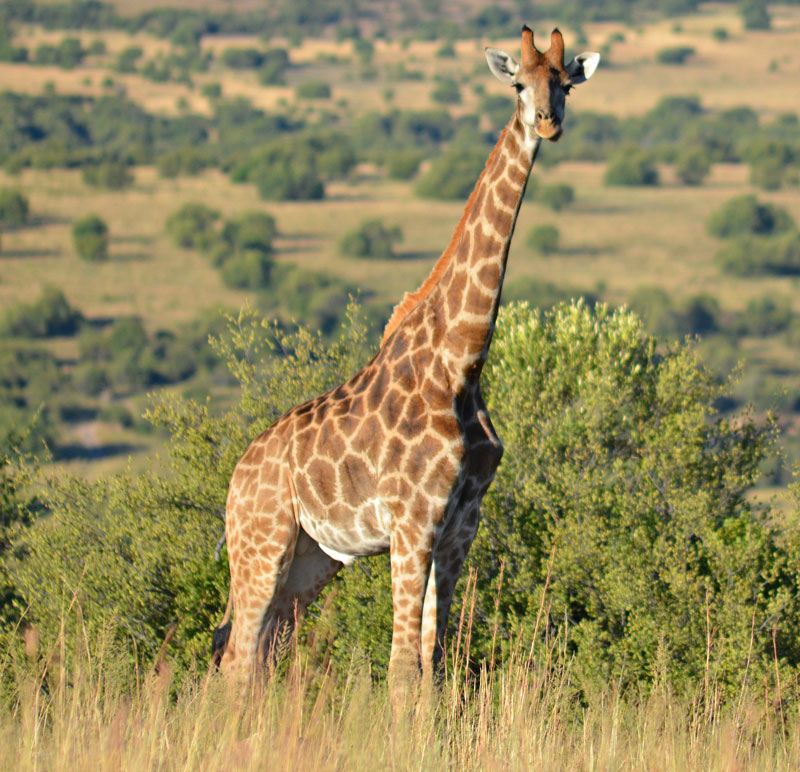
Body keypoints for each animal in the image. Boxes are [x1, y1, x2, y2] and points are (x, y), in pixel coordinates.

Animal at [214, 26, 599, 687]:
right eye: (519, 85)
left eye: (566, 85)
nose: (548, 123)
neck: (462, 361)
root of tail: (236, 481)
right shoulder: (412, 521)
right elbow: (401, 670)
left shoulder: (459, 528)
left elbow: (435, 662)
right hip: (262, 545)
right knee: (237, 661)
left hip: (311, 560)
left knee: (261, 655)